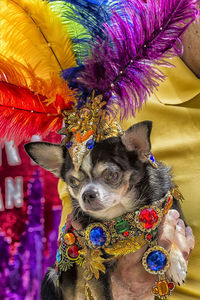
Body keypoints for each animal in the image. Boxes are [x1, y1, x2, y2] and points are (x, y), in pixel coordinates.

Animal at [24, 121, 187, 300]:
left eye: (112, 175)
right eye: (73, 182)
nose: (87, 194)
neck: (121, 216)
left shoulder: (172, 211)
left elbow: (171, 231)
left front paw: (176, 262)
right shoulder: (94, 267)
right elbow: (104, 294)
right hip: (52, 276)